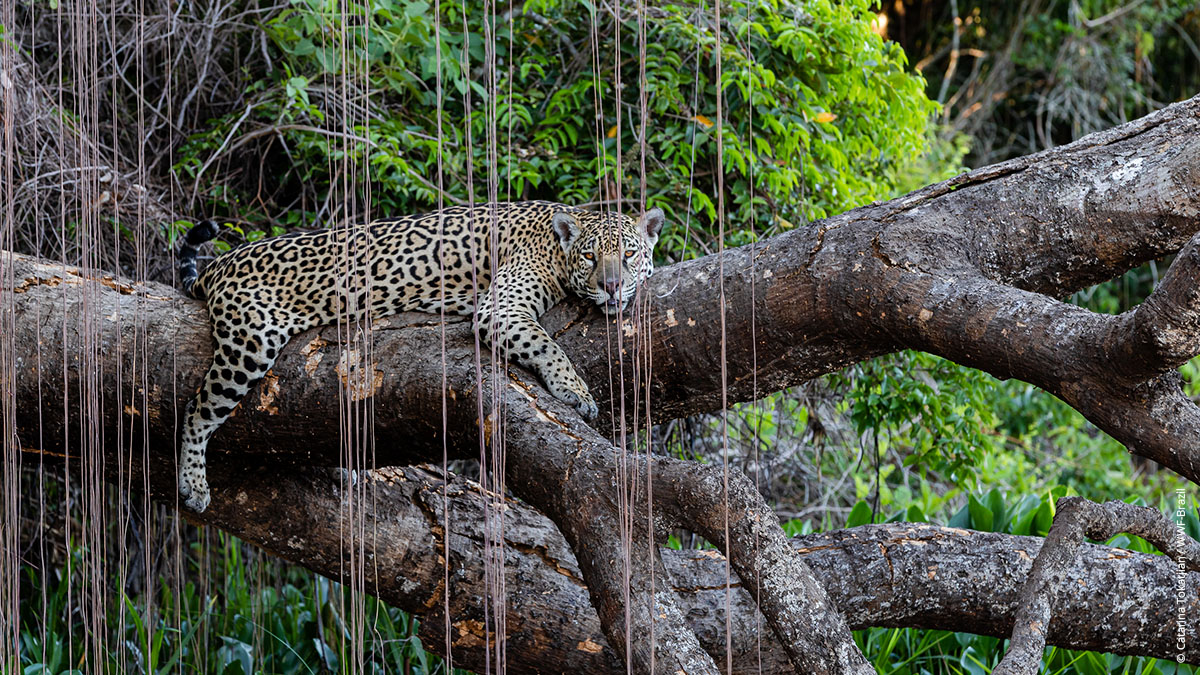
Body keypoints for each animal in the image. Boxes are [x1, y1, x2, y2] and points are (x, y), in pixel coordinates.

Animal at [175, 201, 665, 512]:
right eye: (590, 256)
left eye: (629, 253)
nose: (612, 286)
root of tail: (219, 264)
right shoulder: (500, 307)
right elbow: (547, 344)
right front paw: (575, 391)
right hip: (250, 341)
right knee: (196, 411)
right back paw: (193, 483)